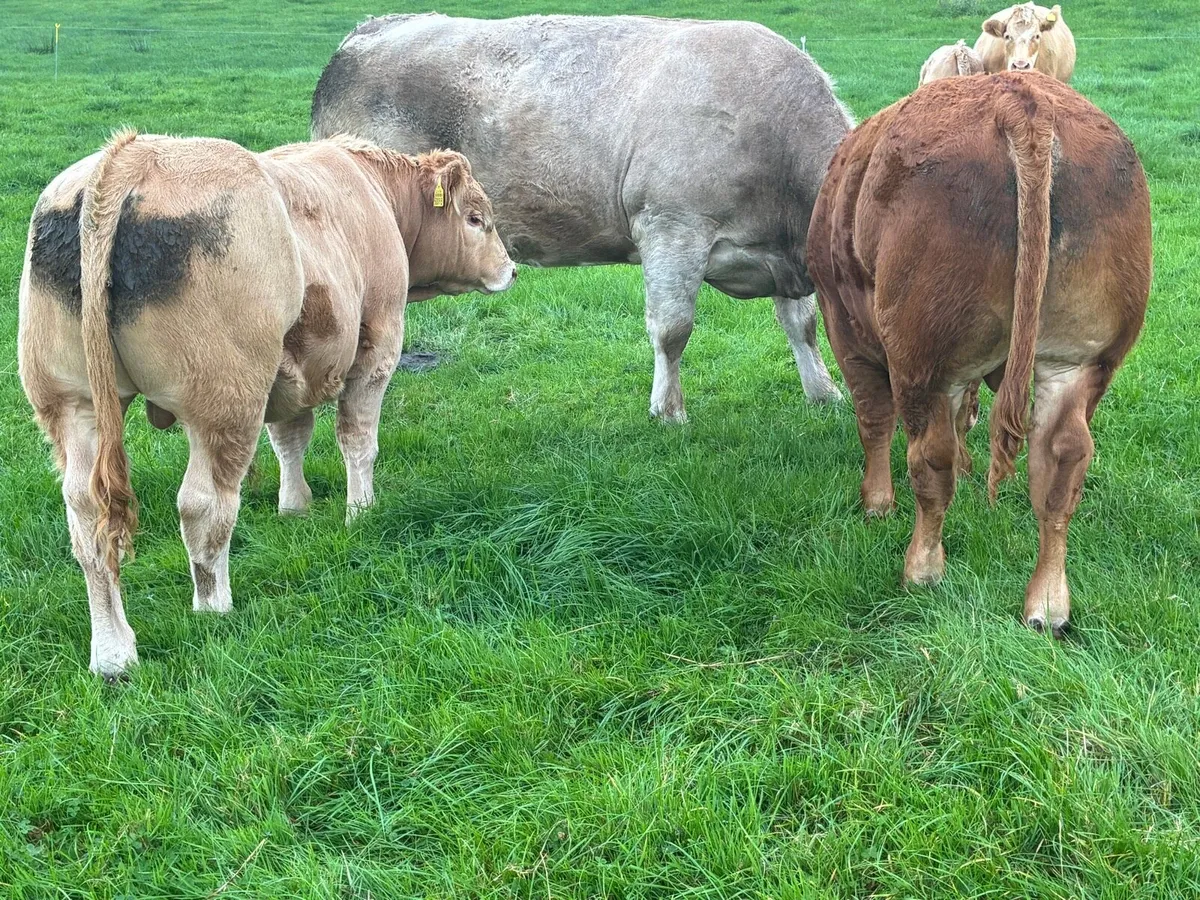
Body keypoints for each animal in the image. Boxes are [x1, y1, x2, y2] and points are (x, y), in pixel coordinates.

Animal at [18, 130, 515, 677]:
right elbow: (357, 440)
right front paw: (360, 511)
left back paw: (113, 653)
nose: (511, 270)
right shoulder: (378, 346)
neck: (373, 191)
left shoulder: (290, 367)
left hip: (72, 402)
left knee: (87, 518)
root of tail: (133, 154)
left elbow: (290, 437)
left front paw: (294, 507)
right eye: (476, 218)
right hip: (225, 400)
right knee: (203, 505)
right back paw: (213, 608)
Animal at [311, 13, 853, 422]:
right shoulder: (671, 228)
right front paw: (668, 412)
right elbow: (673, 327)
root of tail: (370, 28)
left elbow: (800, 323)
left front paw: (823, 393)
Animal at [806, 73, 1151, 636]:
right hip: (1079, 359)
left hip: (922, 355)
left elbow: (873, 419)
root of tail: (1021, 98)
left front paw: (876, 502)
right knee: (1063, 461)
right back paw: (1047, 603)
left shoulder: (845, 325)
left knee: (930, 460)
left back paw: (922, 569)